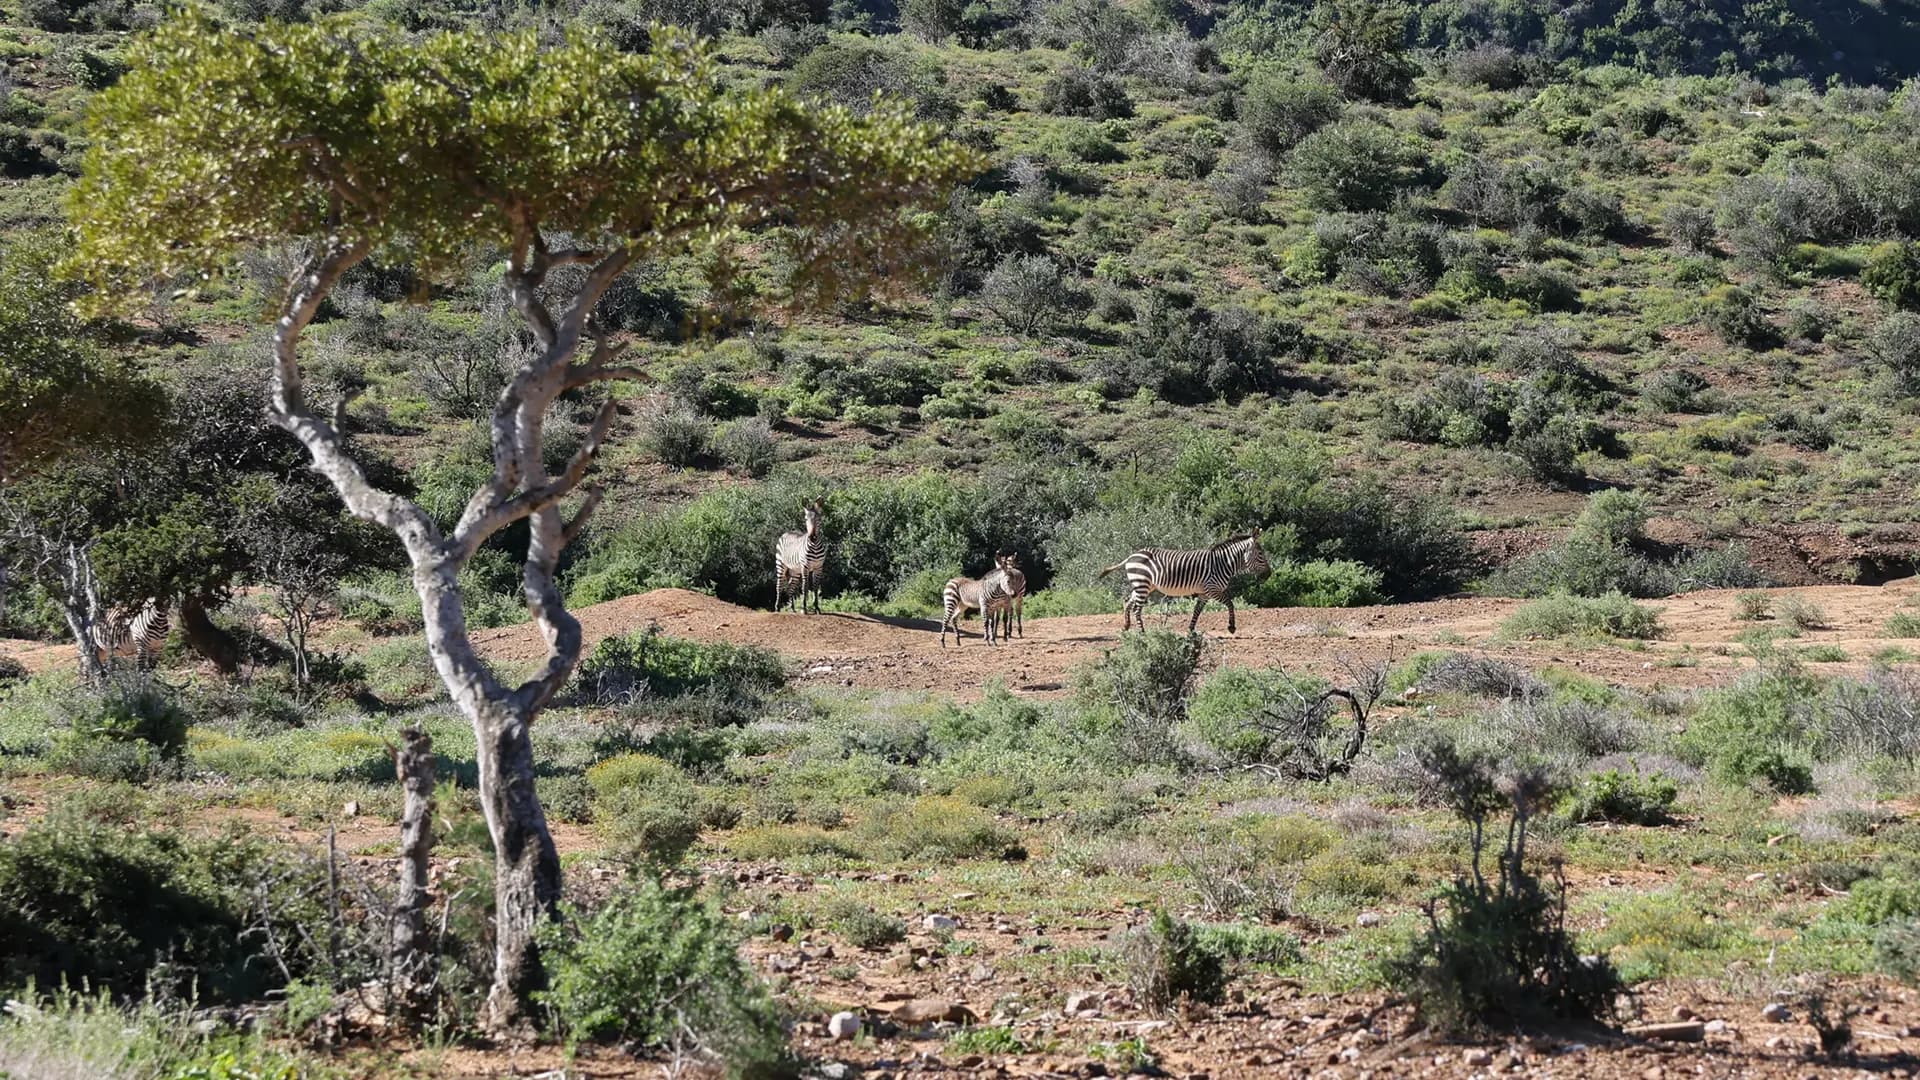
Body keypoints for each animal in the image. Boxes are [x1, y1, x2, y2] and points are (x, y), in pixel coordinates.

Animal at [1098, 529, 1271, 634]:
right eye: (1260, 554)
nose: (1268, 575)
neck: (1223, 563)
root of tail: (1131, 556)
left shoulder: (1204, 592)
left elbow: (1197, 610)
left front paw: (1191, 629)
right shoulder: (1212, 589)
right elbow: (1230, 603)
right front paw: (1232, 627)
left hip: (1143, 586)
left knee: (1128, 601)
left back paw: (1126, 626)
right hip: (1142, 585)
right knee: (1137, 608)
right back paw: (1142, 632)